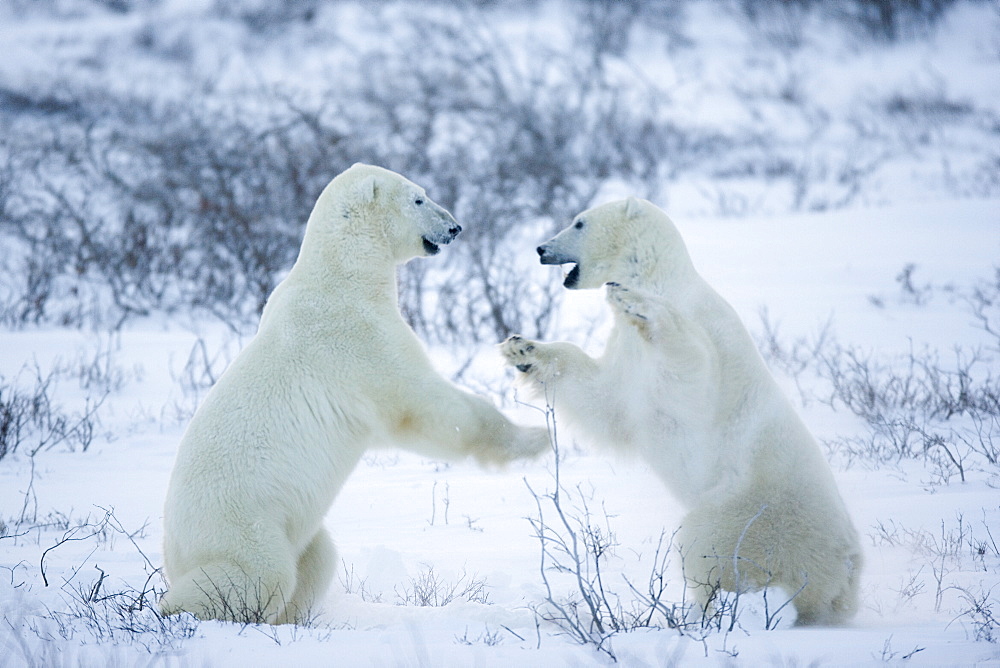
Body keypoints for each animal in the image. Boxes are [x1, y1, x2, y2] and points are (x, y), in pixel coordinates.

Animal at [158, 164, 548, 624]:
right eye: (418, 198)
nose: (455, 226)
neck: (342, 276)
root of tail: (172, 550)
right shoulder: (356, 338)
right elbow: (422, 405)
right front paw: (536, 438)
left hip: (296, 528)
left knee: (316, 559)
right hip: (240, 521)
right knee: (257, 574)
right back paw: (177, 609)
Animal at [504, 197, 864, 628]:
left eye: (579, 223)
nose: (541, 248)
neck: (660, 278)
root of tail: (849, 568)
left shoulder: (705, 339)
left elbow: (690, 369)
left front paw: (634, 302)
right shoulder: (626, 358)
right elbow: (605, 401)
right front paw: (522, 348)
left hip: (755, 514)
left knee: (710, 546)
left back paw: (714, 611)